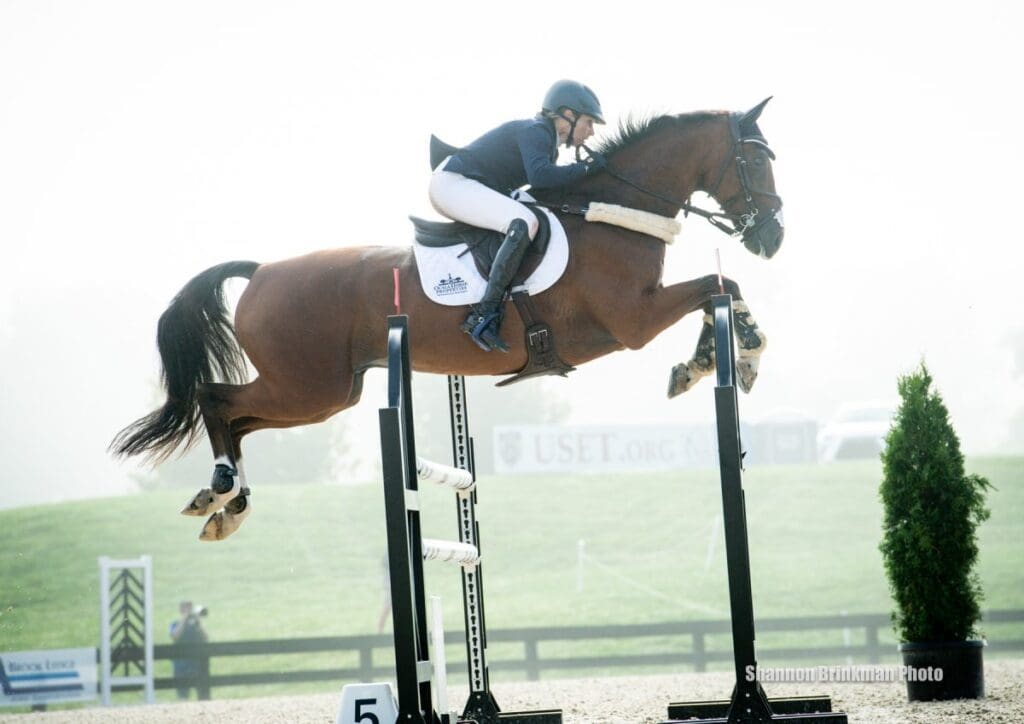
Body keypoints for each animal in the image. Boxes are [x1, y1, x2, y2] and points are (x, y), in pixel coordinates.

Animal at [112, 97, 782, 536]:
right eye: (755, 162)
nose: (772, 238)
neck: (612, 211)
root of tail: (262, 271)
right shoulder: (634, 322)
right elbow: (716, 285)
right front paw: (725, 359)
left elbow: (721, 288)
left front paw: (716, 360)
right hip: (308, 387)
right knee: (216, 398)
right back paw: (221, 490)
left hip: (323, 394)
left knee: (237, 415)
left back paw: (228, 504)